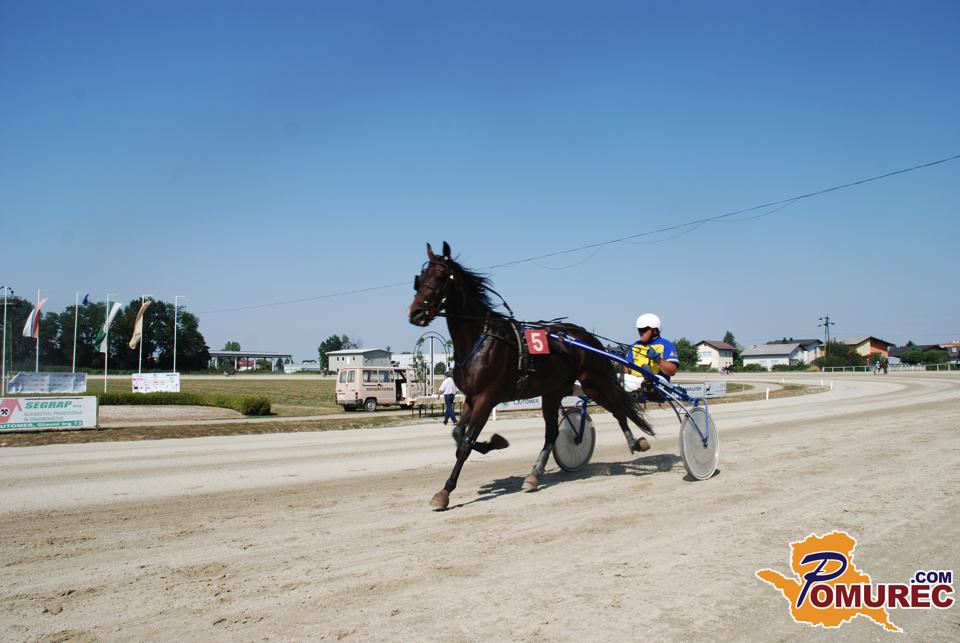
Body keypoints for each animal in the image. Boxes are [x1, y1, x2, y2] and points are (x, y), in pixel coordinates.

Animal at [408, 241, 655, 509]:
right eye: (420, 278)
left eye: (440, 277)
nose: (416, 312)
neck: (479, 339)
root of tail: (587, 337)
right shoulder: (472, 399)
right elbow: (458, 435)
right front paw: (493, 443)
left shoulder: (486, 398)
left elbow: (465, 444)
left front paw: (445, 491)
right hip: (553, 391)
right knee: (552, 433)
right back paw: (534, 476)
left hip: (593, 381)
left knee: (618, 409)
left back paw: (636, 442)